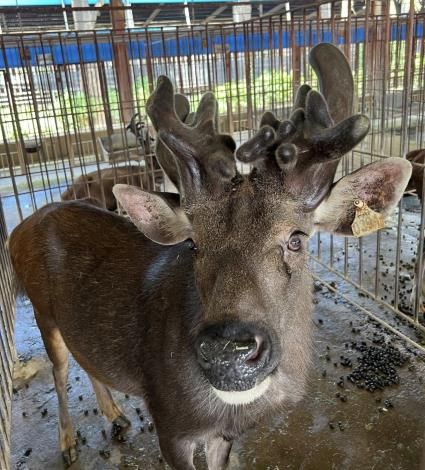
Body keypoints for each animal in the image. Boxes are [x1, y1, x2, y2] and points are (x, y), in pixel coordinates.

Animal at [7, 42, 410, 468]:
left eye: (296, 239)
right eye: (193, 243)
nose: (228, 352)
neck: (222, 411)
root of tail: (19, 230)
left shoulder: (224, 435)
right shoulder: (167, 422)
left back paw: (115, 416)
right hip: (41, 310)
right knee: (60, 370)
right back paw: (68, 442)